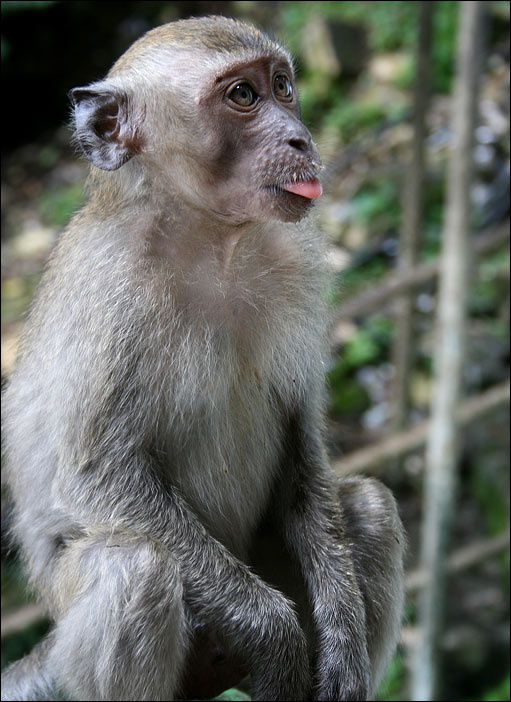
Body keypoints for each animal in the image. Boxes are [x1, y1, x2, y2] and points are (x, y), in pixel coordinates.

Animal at [1, 16, 405, 702]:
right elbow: (99, 477)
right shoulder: (111, 291)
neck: (209, 240)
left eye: (283, 85)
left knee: (369, 509)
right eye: (242, 95)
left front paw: (342, 638)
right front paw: (274, 633)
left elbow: (302, 444)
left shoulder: (297, 259)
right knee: (132, 567)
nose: (300, 137)